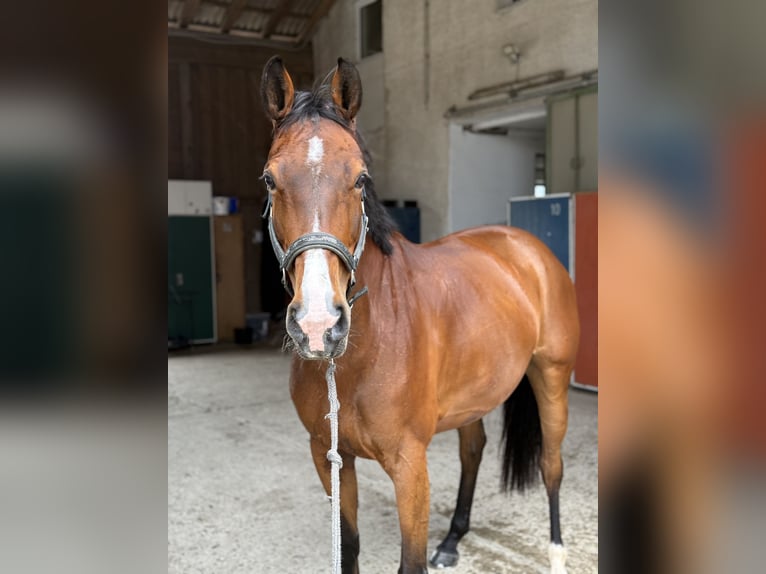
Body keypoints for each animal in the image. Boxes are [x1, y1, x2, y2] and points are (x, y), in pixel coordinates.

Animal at [259, 56, 579, 574]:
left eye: (361, 178)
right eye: (270, 179)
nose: (318, 325)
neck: (359, 358)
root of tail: (526, 245)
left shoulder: (410, 466)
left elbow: (410, 562)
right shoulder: (330, 458)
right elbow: (349, 549)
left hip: (552, 376)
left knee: (552, 465)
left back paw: (555, 552)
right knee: (473, 450)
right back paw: (451, 540)